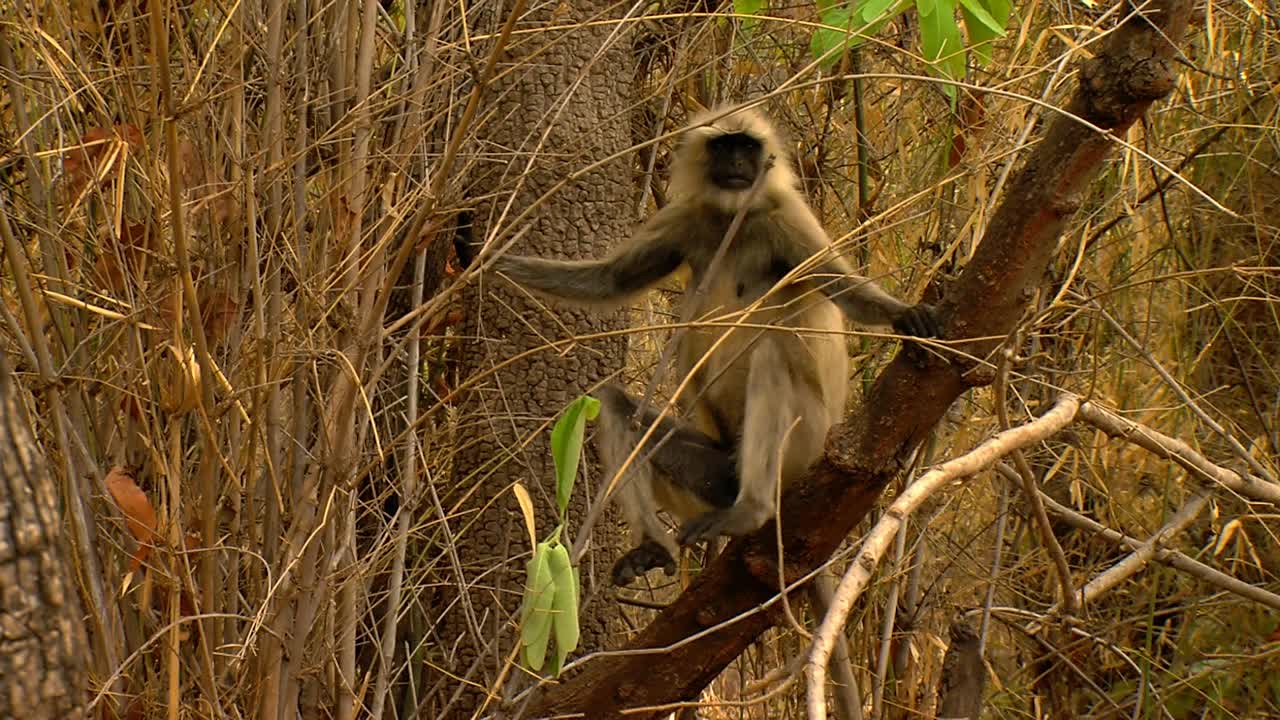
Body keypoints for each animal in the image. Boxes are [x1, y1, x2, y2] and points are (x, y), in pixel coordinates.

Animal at [488, 103, 942, 584]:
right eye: (724, 147)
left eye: (747, 147)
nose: (738, 163)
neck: (733, 221)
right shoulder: (687, 218)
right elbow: (609, 280)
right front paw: (481, 255)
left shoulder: (788, 216)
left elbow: (846, 288)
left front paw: (904, 314)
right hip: (718, 472)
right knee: (614, 405)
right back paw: (651, 548)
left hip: (804, 446)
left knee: (771, 353)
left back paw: (751, 511)